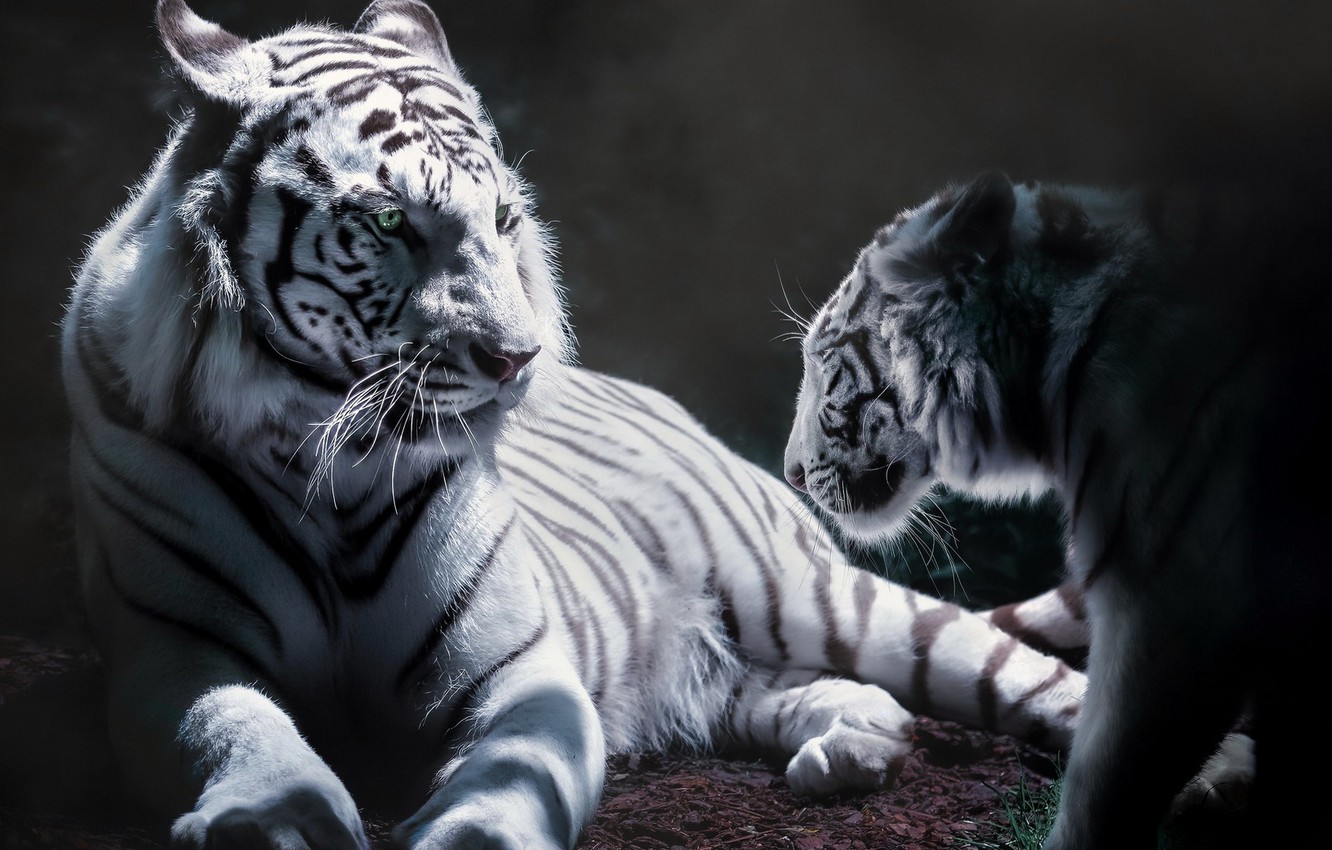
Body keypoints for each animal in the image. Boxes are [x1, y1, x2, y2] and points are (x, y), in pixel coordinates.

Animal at [62, 3, 1092, 848]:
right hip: (731, 663)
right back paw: (850, 751)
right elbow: (238, 728)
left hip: (814, 596)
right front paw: (271, 816)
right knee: (834, 693)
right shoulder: (176, 656)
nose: (518, 360)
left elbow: (509, 791)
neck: (330, 459)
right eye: (391, 221)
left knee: (1035, 679)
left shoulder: (521, 672)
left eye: (505, 218)